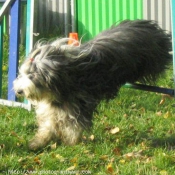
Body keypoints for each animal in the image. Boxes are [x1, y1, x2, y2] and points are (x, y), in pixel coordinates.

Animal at [13, 19, 172, 150]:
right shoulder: (53, 107)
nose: (19, 91)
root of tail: (147, 24)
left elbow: (74, 125)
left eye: (32, 76)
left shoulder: (78, 105)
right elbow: (48, 125)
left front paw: (71, 142)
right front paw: (38, 142)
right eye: (22, 73)